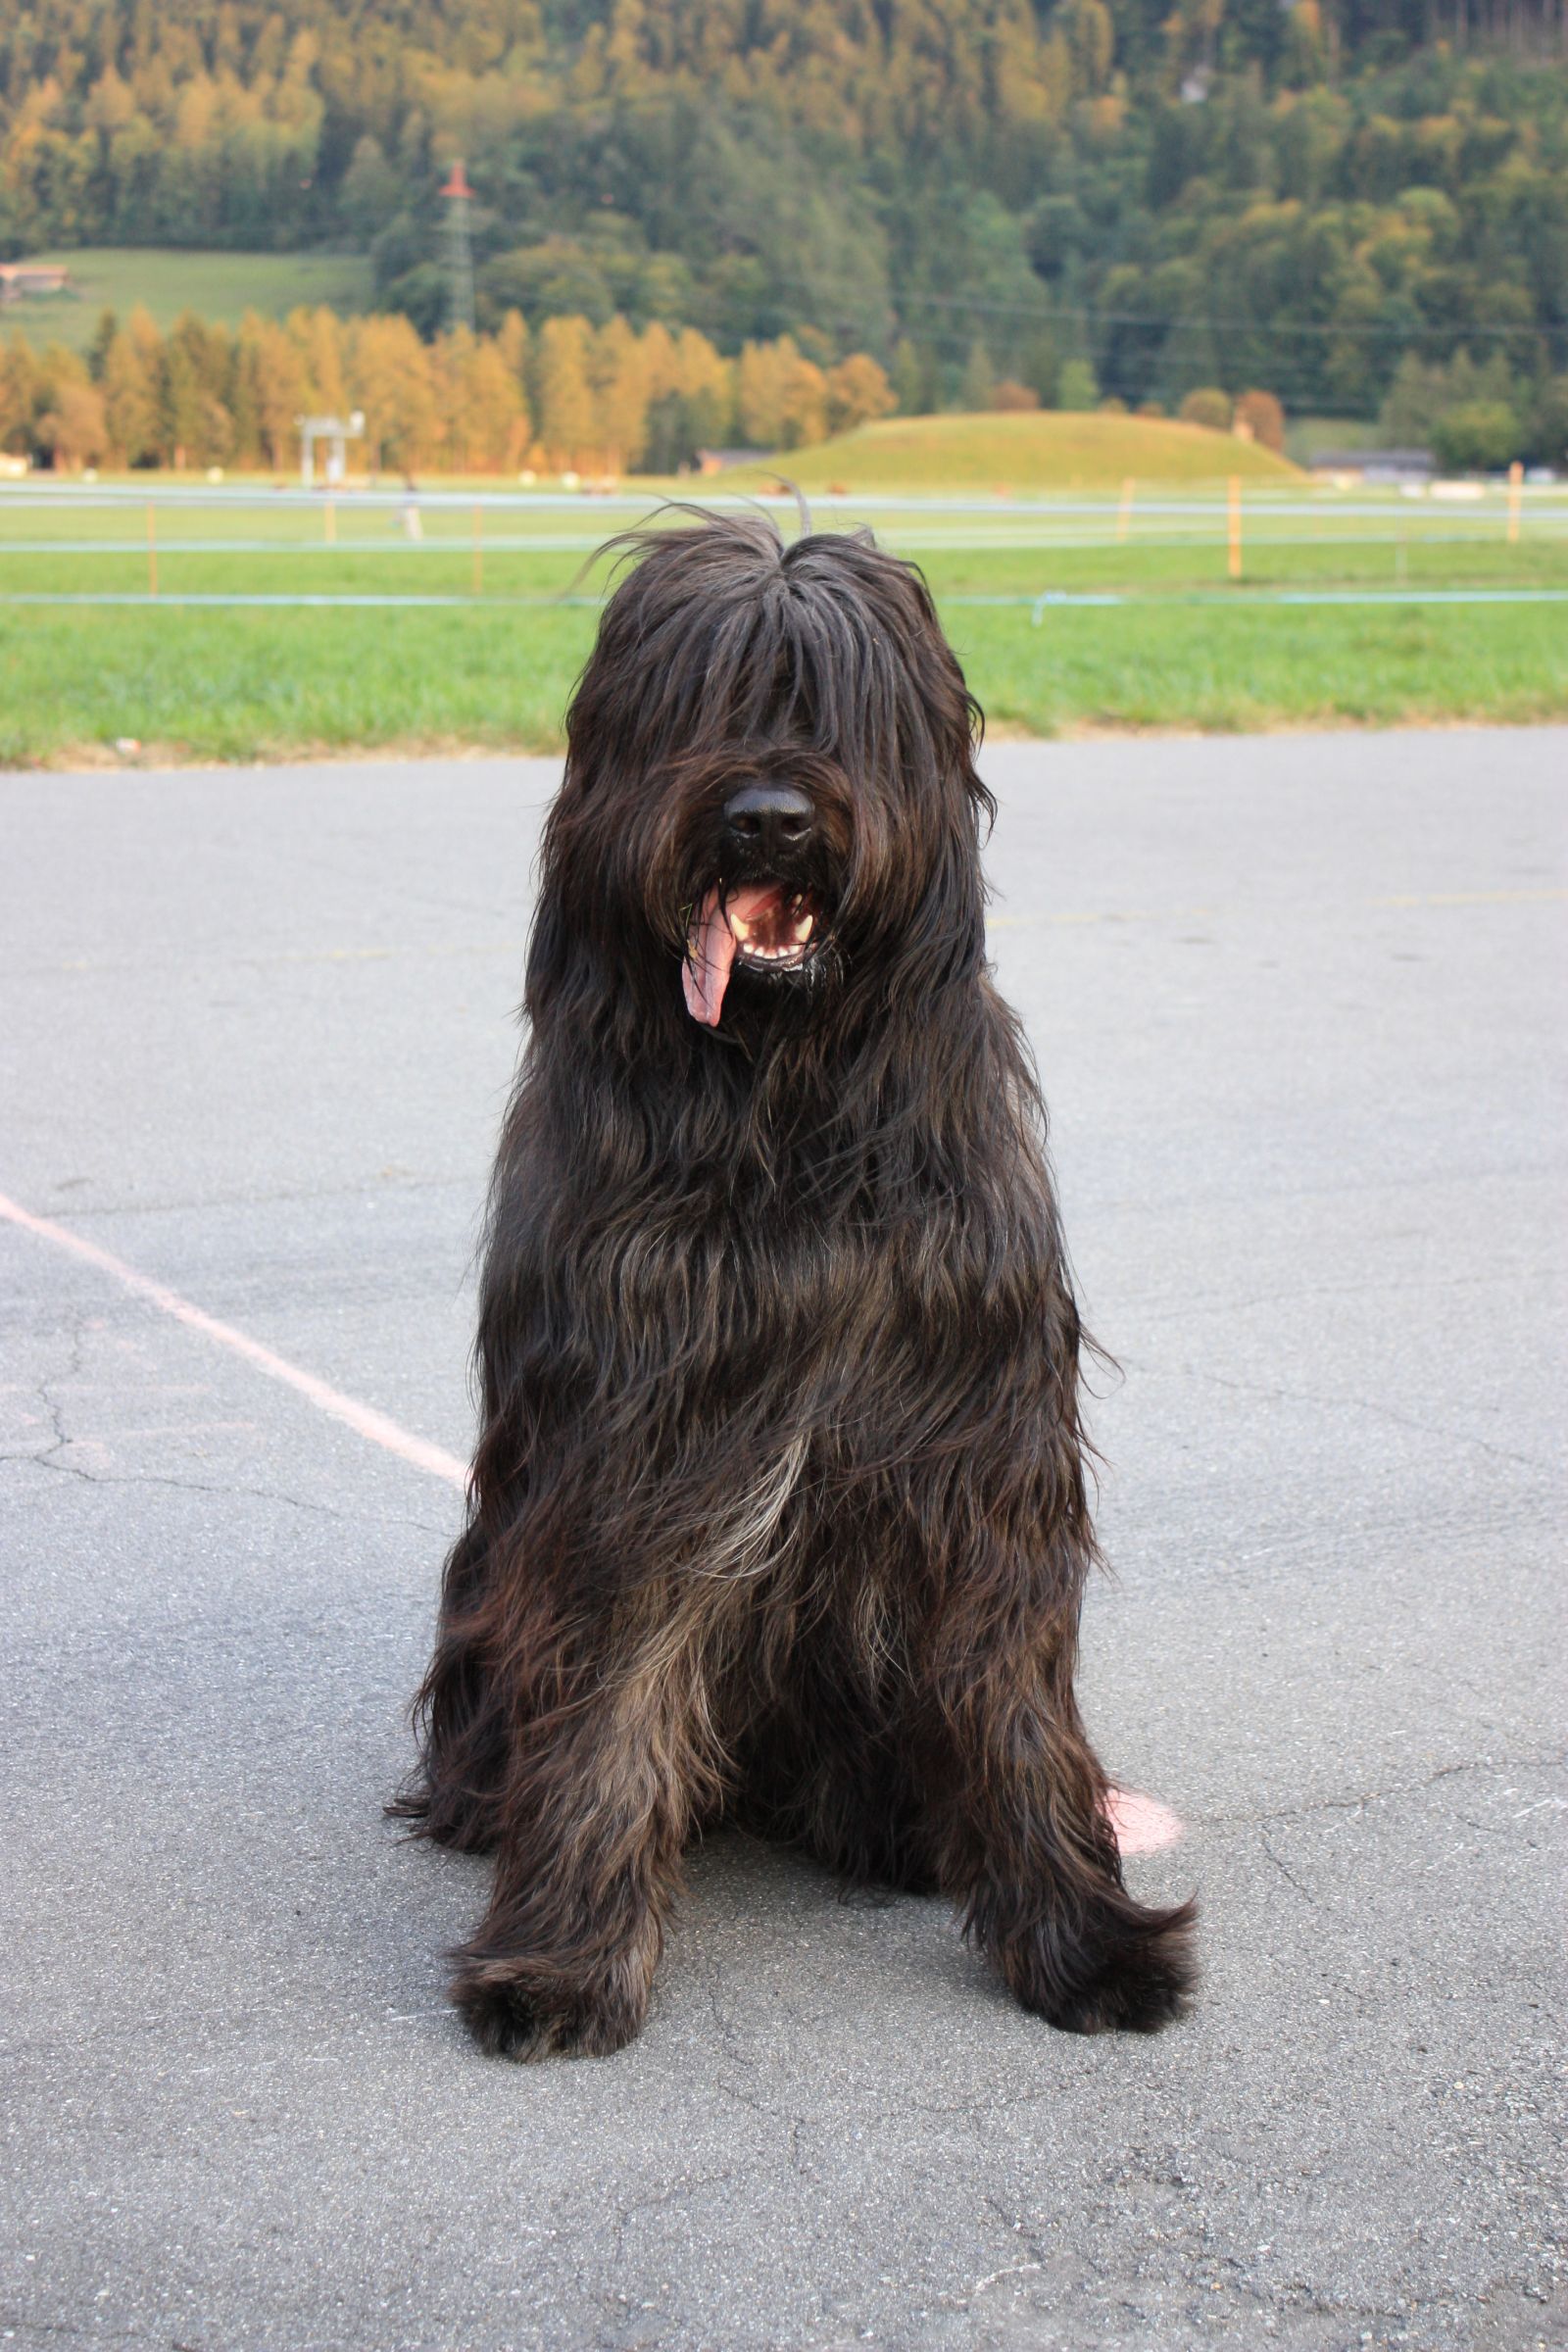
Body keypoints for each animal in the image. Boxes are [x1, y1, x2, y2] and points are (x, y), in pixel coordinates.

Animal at [394, 512, 1195, 2057]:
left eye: (840, 702)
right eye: (704, 696)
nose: (767, 817)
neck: (785, 1104)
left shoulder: (977, 1429)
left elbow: (1016, 1700)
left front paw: (1084, 1941)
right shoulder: (632, 1439)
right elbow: (609, 1691)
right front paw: (561, 1961)